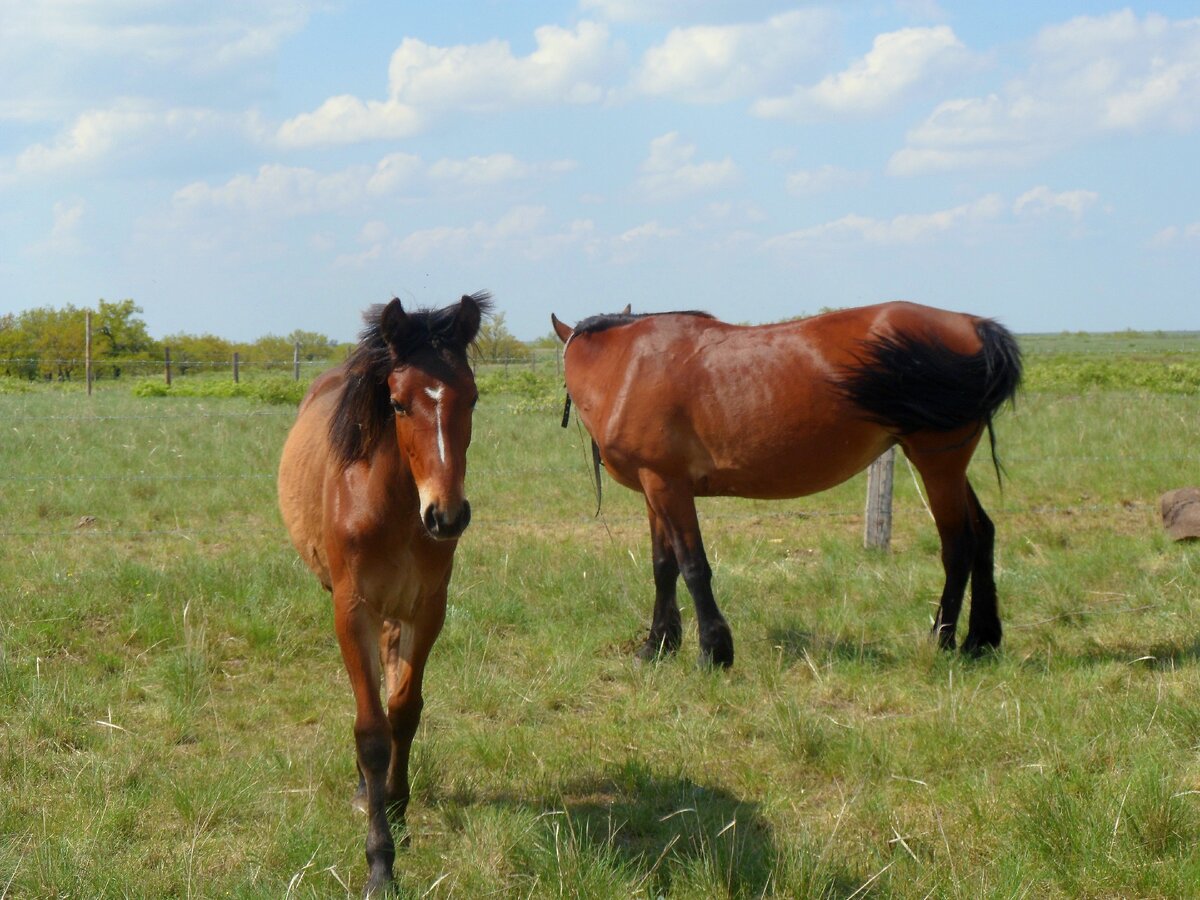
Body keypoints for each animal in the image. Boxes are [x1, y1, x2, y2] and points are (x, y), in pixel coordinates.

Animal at [278, 292, 489, 897]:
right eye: (396, 403)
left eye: (473, 397)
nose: (446, 515)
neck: (395, 506)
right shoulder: (352, 610)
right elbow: (371, 729)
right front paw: (380, 862)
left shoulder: (428, 608)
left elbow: (404, 711)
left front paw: (396, 807)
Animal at [552, 303, 1022, 672]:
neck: (626, 367)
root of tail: (972, 324)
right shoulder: (656, 488)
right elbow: (663, 567)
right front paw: (657, 647)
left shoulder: (669, 486)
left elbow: (693, 566)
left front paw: (713, 652)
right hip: (948, 466)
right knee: (983, 533)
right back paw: (980, 641)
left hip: (937, 462)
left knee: (958, 544)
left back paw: (942, 640)